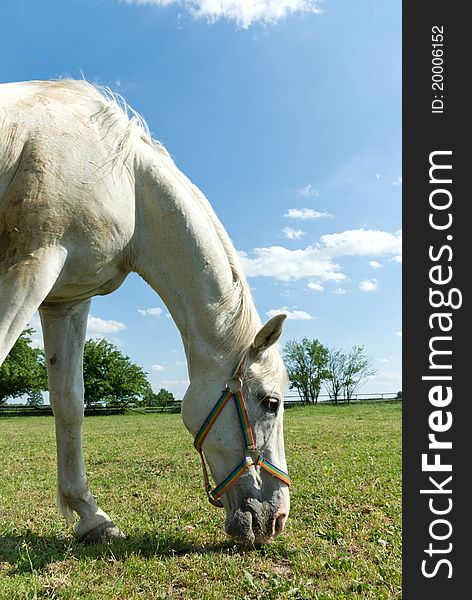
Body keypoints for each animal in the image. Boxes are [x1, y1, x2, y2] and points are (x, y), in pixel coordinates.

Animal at [0, 82, 290, 548]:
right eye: (271, 403)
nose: (275, 519)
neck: (123, 178)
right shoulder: (31, 265)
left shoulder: (66, 300)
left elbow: (69, 403)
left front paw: (92, 517)